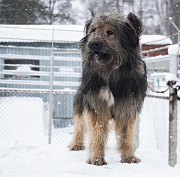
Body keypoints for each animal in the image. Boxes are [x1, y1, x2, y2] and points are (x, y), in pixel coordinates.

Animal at [68, 11, 147, 165]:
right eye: (93, 30)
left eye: (110, 32)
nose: (94, 44)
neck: (110, 72)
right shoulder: (97, 104)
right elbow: (97, 132)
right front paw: (97, 157)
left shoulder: (127, 105)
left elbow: (126, 134)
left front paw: (128, 156)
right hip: (81, 100)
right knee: (79, 125)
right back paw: (76, 143)